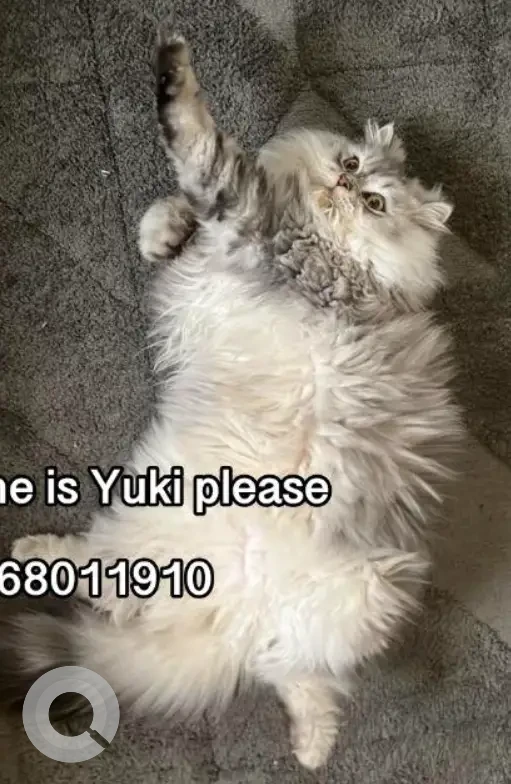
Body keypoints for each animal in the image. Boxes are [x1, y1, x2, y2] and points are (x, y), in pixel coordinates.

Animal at [1, 34, 462, 769]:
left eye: (374, 202)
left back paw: (312, 748)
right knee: (116, 586)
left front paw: (173, 74)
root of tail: (228, 620)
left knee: (296, 676)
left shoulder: (250, 218)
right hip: (157, 540)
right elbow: (172, 220)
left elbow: (199, 147)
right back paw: (37, 555)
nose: (343, 185)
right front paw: (162, 229)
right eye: (350, 164)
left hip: (365, 592)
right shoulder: (233, 234)